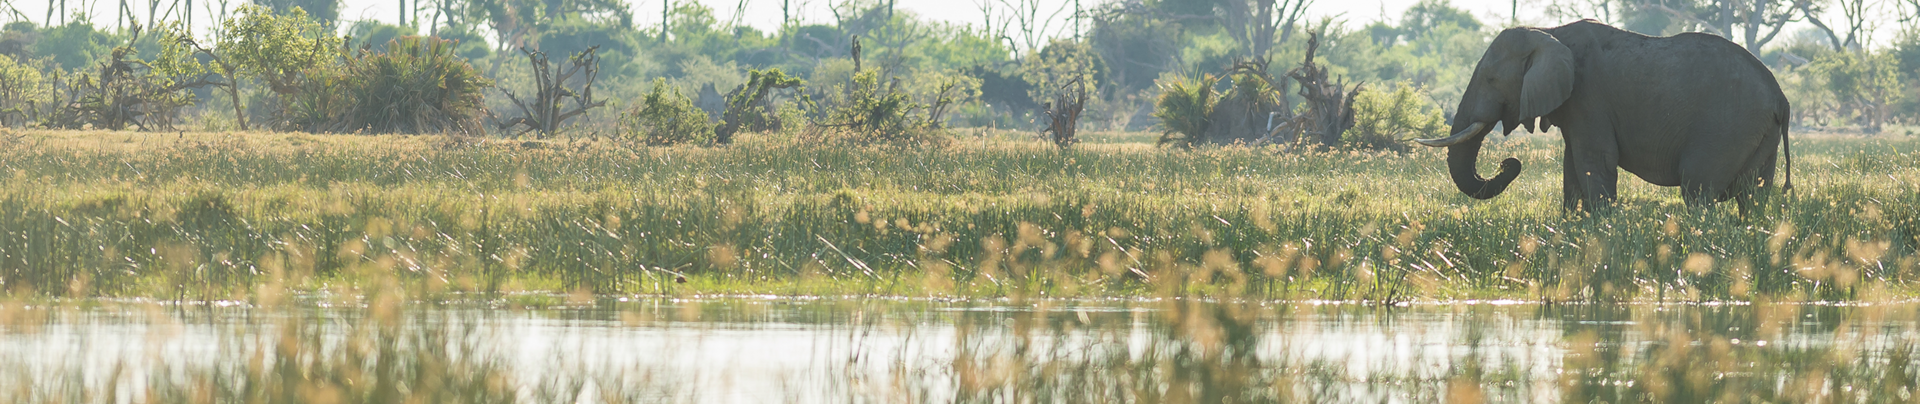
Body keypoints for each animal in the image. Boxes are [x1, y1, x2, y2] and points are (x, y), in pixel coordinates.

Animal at [1415, 20, 1791, 213]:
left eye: (1492, 80)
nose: (1509, 163)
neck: (1549, 31)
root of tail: (1780, 98)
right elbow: (1572, 165)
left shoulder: (1588, 96)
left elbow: (1594, 160)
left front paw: (1600, 231)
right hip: (1759, 133)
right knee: (1753, 194)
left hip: (1727, 129)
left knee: (1698, 189)